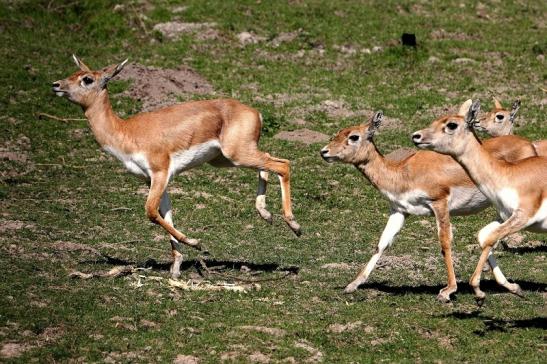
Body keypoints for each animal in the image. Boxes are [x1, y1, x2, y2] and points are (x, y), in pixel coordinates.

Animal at [50, 55, 302, 278]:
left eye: (87, 79)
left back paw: (294, 225)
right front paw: (176, 267)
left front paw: (196, 242)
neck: (125, 131)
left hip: (237, 155)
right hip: (226, 159)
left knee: (283, 165)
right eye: (73, 73)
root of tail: (255, 112)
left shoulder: (160, 172)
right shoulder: (154, 180)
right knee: (268, 161)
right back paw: (266, 214)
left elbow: (150, 212)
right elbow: (166, 214)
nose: (56, 85)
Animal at [318, 104, 536, 302]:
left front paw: (448, 291)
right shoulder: (399, 210)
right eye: (338, 133)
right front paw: (352, 284)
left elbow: (445, 242)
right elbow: (382, 243)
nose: (324, 151)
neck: (403, 173)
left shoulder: (439, 202)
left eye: (354, 136)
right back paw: (511, 287)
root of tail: (530, 146)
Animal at [416, 99, 547, 304]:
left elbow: (491, 238)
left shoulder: (524, 216)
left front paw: (476, 291)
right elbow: (483, 236)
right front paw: (514, 288)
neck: (509, 174)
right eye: (436, 120)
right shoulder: (505, 215)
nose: (417, 136)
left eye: (452, 124)